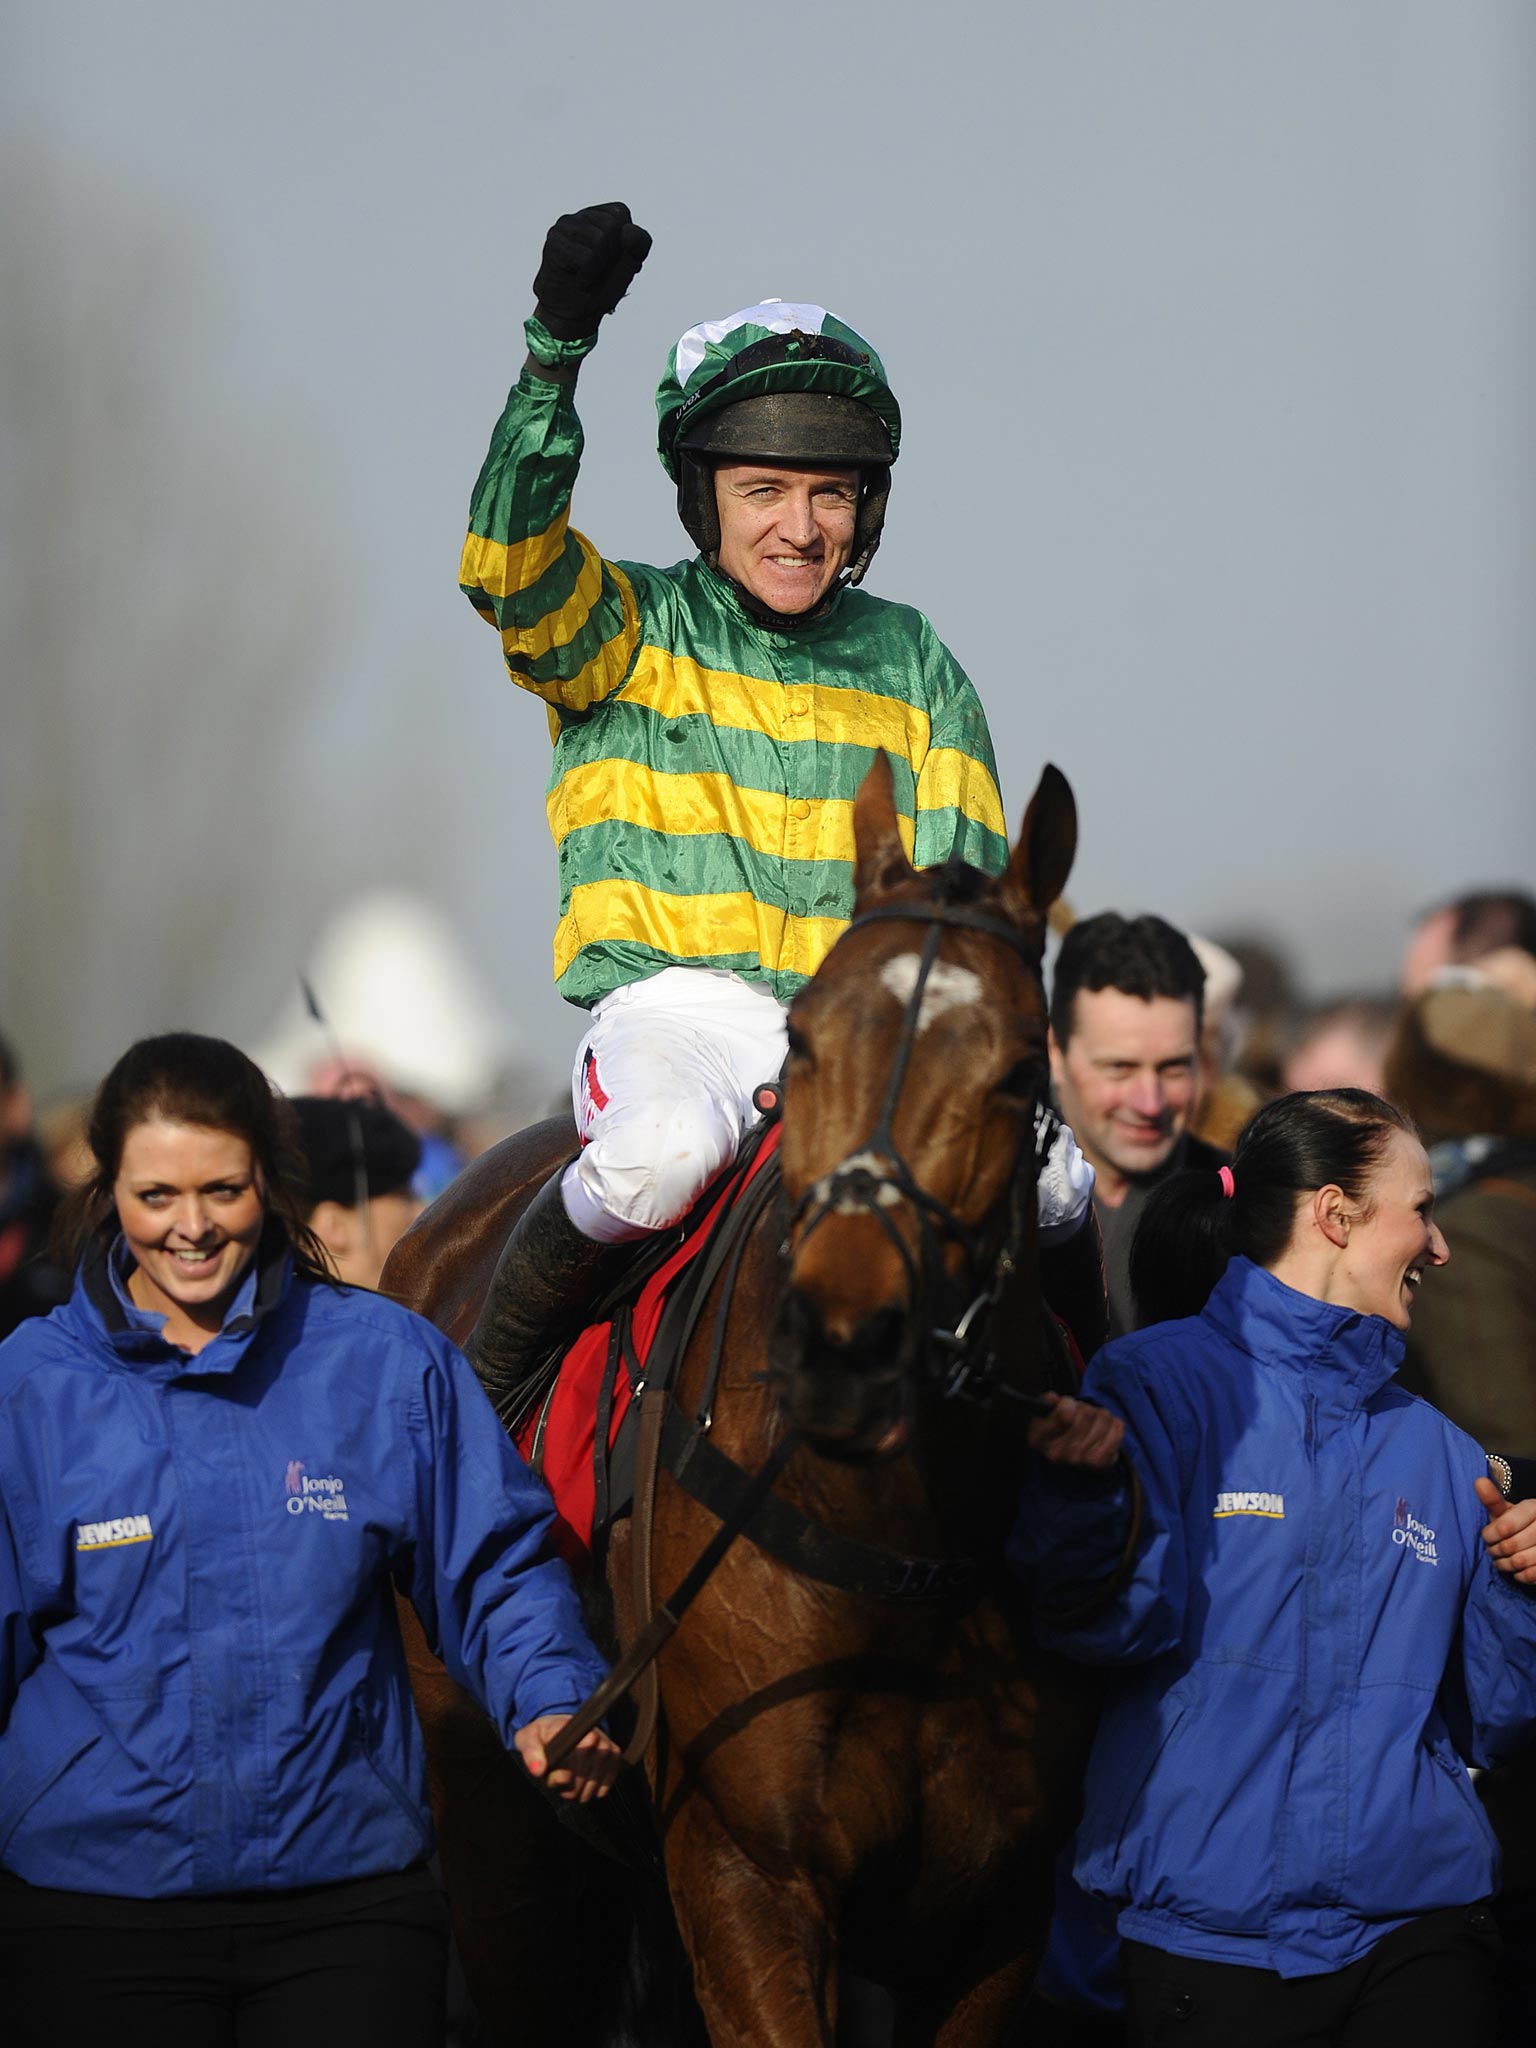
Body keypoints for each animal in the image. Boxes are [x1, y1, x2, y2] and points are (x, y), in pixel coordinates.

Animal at [385, 761, 1105, 2039]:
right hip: (494, 1813)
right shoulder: (743, 1867)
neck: (900, 1540)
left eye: (1022, 1070)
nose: (844, 1343)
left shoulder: (1001, 1908)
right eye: (805, 1040)